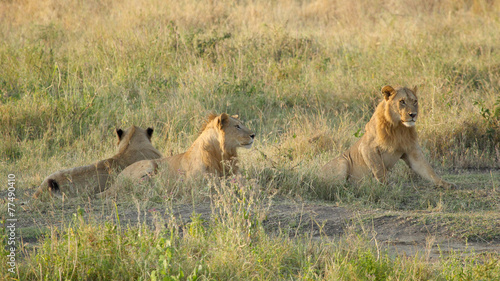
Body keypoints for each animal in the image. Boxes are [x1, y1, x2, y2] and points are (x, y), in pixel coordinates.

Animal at [102, 112, 258, 196]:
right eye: (237, 126)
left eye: (241, 124)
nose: (253, 135)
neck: (222, 153)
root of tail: (115, 181)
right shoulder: (192, 182)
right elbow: (215, 181)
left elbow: (247, 181)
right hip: (148, 165)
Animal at [322, 85, 456, 188]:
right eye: (402, 101)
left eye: (415, 101)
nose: (413, 114)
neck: (399, 128)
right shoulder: (367, 148)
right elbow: (379, 169)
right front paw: (385, 186)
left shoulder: (412, 151)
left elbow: (428, 170)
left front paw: (446, 184)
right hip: (343, 161)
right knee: (334, 185)